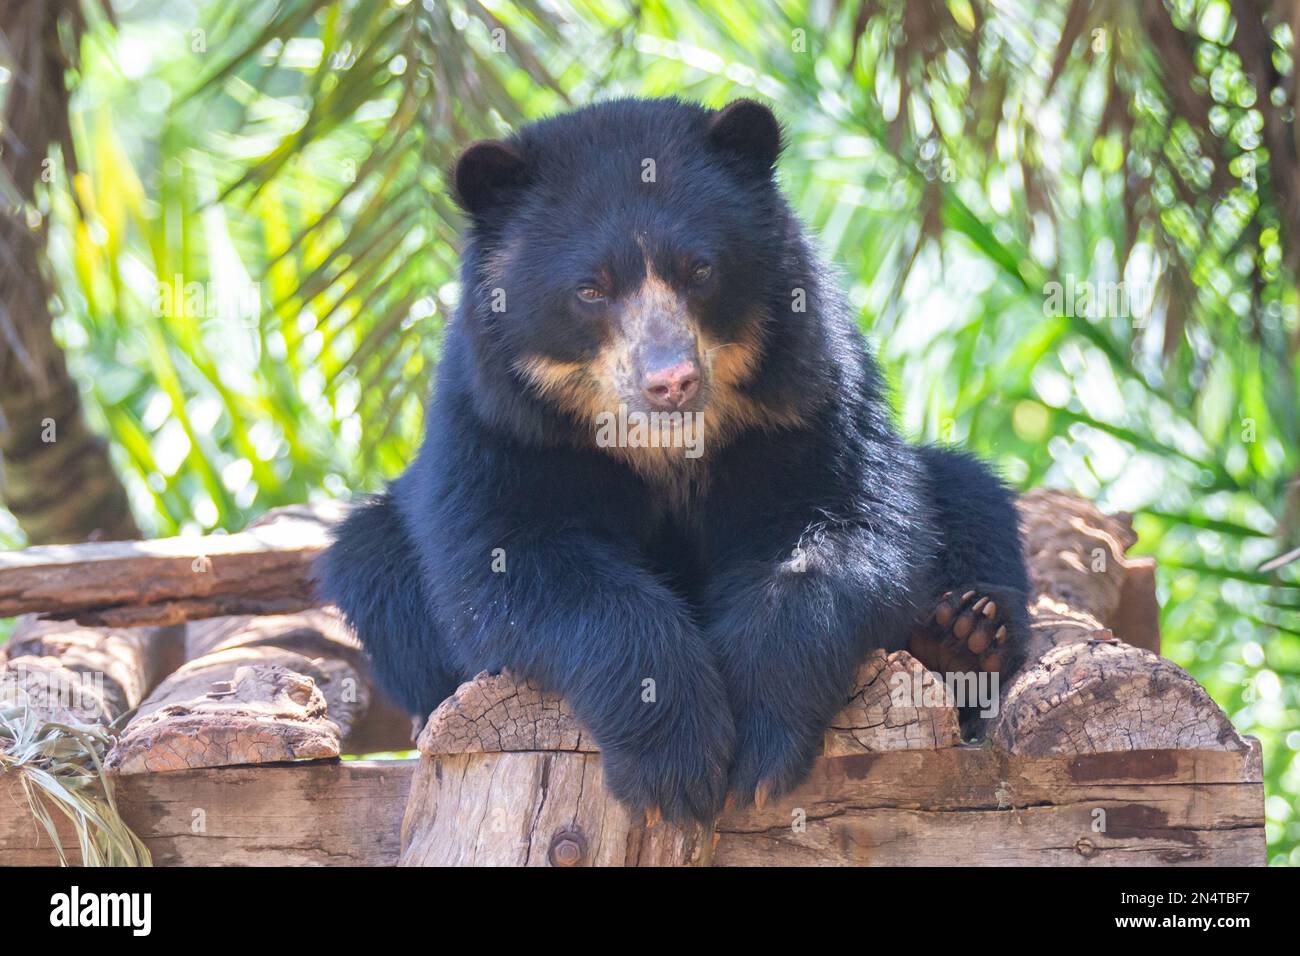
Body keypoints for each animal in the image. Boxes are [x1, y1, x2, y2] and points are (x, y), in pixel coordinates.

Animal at [317, 97, 1030, 823]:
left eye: (700, 271)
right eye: (590, 290)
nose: (672, 381)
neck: (663, 441)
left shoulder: (809, 394)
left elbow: (843, 524)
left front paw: (758, 744)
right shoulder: (502, 428)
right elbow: (519, 560)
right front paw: (677, 763)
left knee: (968, 491)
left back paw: (966, 633)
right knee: (375, 561)